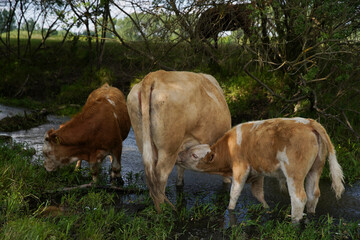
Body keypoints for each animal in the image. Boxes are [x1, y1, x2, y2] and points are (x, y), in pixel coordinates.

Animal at [179, 117, 344, 223]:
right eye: (189, 149)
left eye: (194, 155)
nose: (179, 155)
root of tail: (309, 123)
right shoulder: (257, 173)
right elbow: (258, 193)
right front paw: (267, 209)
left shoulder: (240, 168)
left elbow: (234, 192)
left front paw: (230, 210)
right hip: (315, 169)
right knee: (313, 194)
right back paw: (310, 217)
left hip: (294, 172)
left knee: (299, 198)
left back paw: (295, 223)